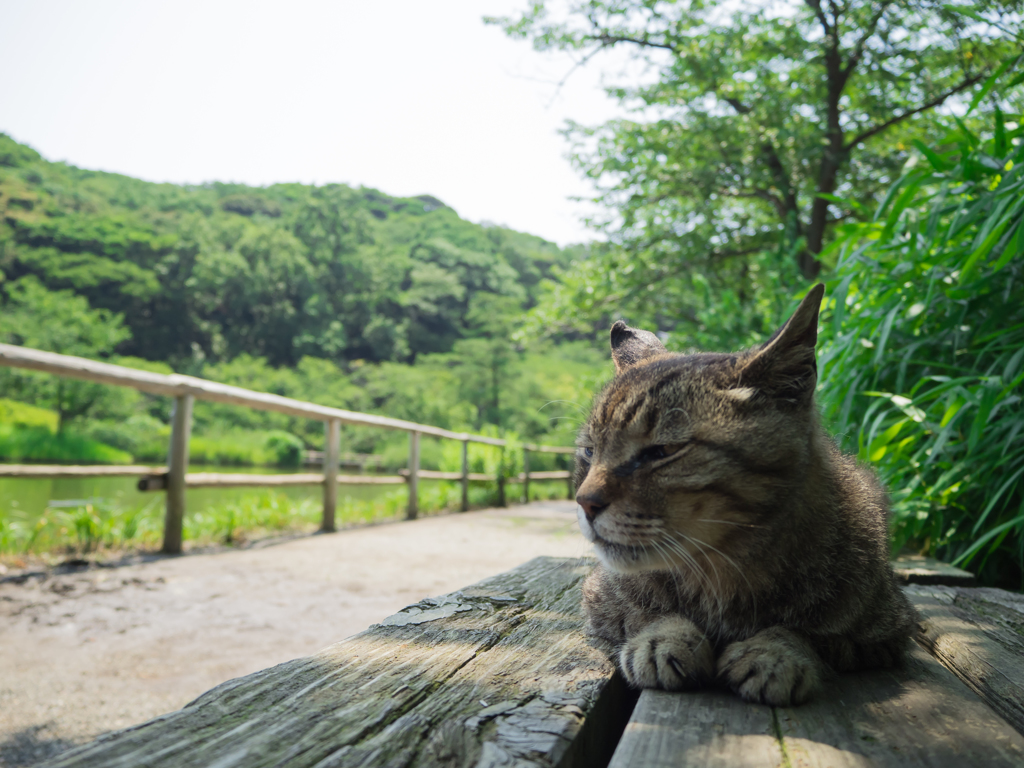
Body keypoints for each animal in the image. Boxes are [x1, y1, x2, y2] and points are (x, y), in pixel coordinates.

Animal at [577, 286, 921, 708]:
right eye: (590, 452)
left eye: (663, 451)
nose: (584, 502)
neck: (720, 576)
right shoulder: (598, 596)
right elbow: (645, 610)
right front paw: (663, 636)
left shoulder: (886, 635)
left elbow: (814, 635)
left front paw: (776, 651)